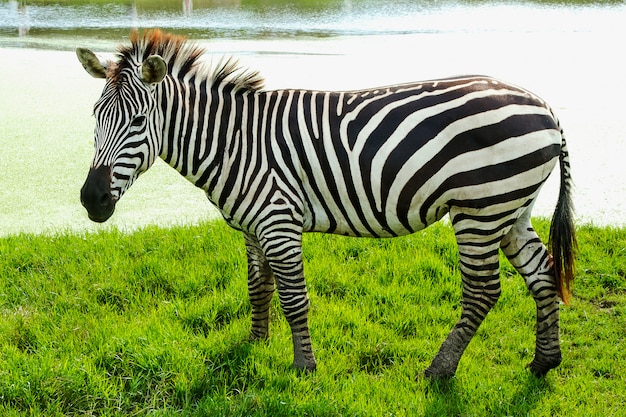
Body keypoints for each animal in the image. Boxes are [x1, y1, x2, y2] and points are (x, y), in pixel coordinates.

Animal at [78, 30, 576, 378]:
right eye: (95, 117)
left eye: (138, 121)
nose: (91, 199)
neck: (235, 140)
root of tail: (546, 108)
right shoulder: (253, 226)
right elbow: (258, 288)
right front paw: (255, 344)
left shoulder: (278, 220)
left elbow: (294, 298)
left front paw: (303, 367)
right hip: (510, 209)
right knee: (542, 274)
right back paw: (544, 363)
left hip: (480, 209)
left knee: (482, 292)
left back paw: (439, 370)